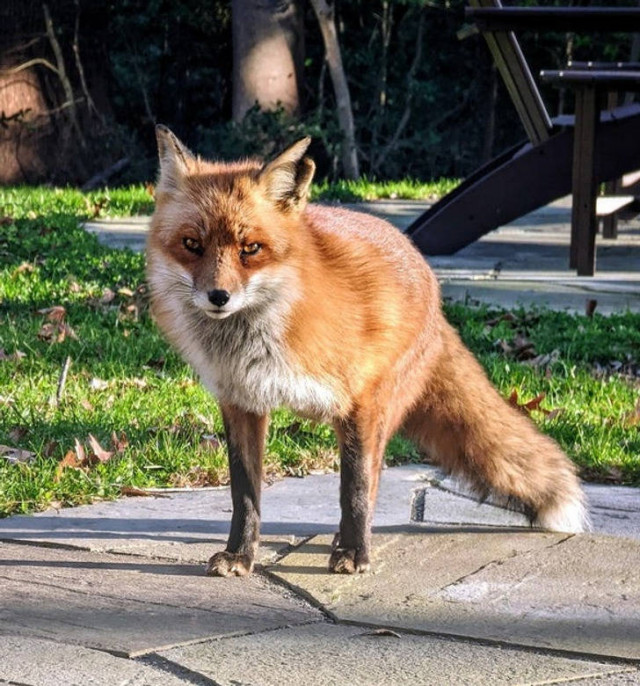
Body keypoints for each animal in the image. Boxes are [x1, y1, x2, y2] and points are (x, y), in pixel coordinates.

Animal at [148, 126, 588, 576]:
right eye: (191, 244)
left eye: (250, 248)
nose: (218, 297)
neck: (266, 340)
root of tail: (430, 281)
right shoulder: (242, 403)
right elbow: (245, 495)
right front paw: (241, 554)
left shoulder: (362, 403)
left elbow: (356, 487)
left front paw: (355, 552)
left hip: (381, 407)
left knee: (373, 477)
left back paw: (351, 540)